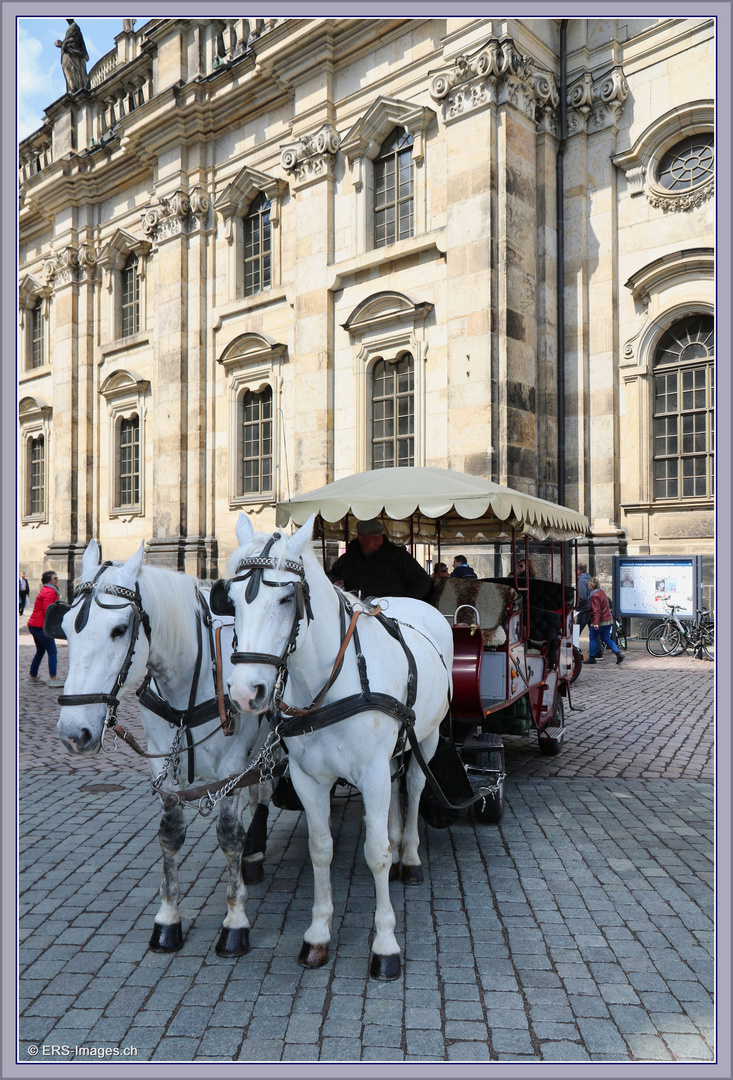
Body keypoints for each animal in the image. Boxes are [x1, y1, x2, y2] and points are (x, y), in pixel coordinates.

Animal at [53, 544, 274, 959]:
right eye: (66, 628)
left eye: (119, 629)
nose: (74, 733)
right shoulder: (161, 765)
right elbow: (170, 835)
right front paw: (168, 920)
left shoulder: (232, 764)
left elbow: (228, 836)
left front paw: (235, 921)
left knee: (264, 790)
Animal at [218, 514, 453, 980]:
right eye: (231, 599)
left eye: (286, 598)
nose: (245, 692)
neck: (326, 685)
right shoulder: (308, 778)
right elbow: (321, 848)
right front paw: (318, 935)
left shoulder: (372, 771)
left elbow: (375, 853)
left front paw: (385, 946)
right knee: (396, 791)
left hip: (429, 736)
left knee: (415, 788)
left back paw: (409, 857)